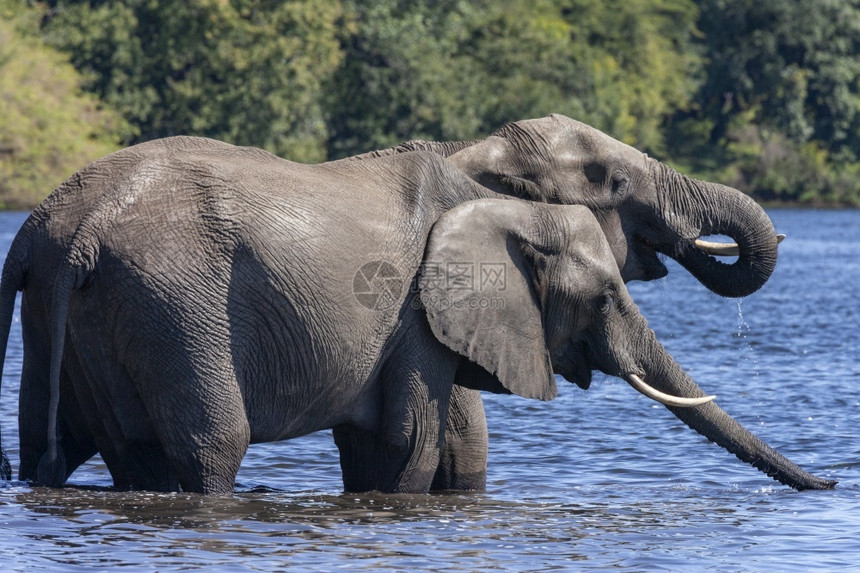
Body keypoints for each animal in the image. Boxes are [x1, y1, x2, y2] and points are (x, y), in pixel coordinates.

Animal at [0, 114, 804, 490]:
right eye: (612, 181)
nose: (824, 483)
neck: (471, 159)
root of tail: (67, 233)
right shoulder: (416, 311)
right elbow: (407, 447)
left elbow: (438, 447)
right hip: (173, 307)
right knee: (211, 448)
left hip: (73, 317)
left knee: (62, 450)